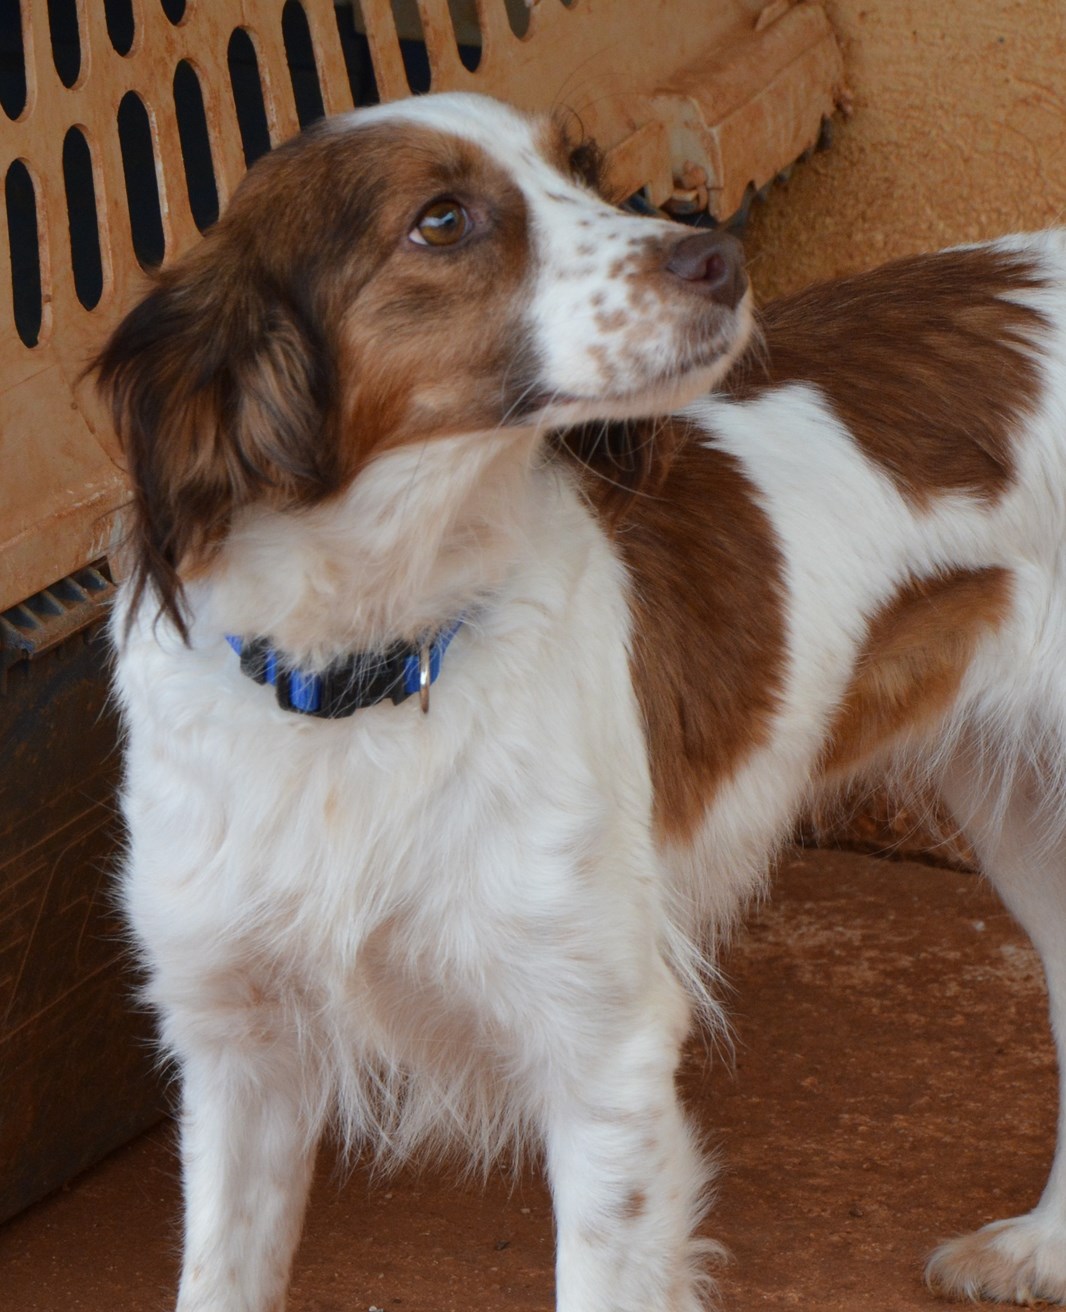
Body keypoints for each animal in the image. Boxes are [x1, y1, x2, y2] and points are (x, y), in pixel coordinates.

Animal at [97, 91, 1066, 1310]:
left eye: (583, 169)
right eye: (442, 219)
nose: (721, 257)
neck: (369, 672)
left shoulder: (602, 1047)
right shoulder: (239, 1043)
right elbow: (220, 1272)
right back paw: (1045, 1245)